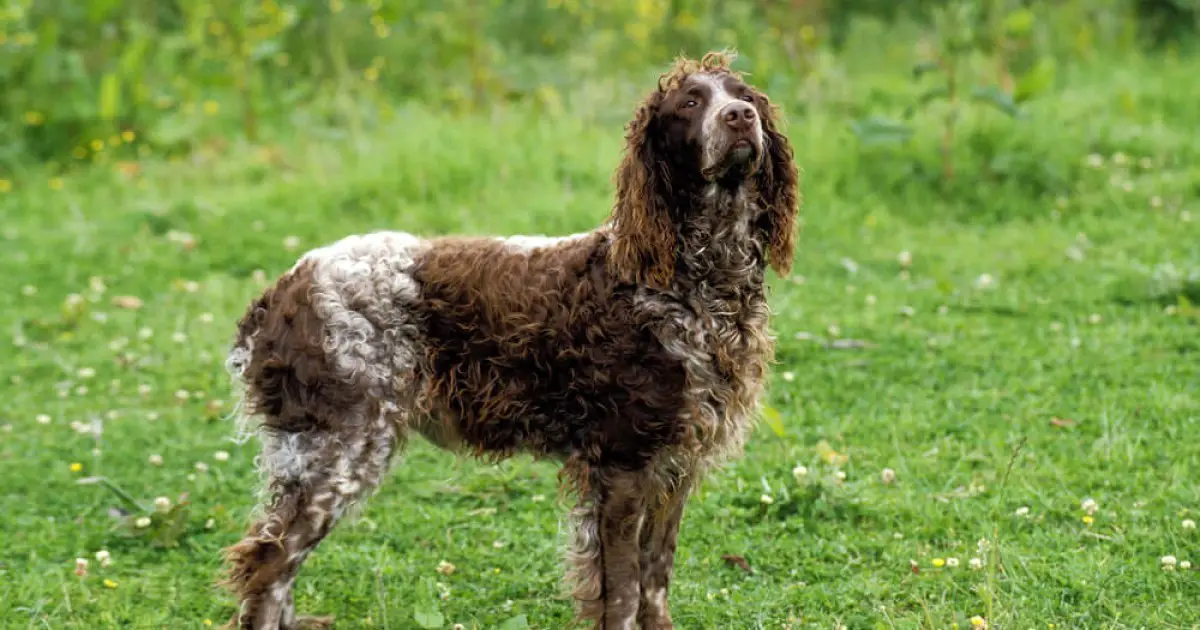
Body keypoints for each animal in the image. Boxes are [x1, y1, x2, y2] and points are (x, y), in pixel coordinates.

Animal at [220, 51, 801, 624]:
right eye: (690, 103)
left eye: (745, 98)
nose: (739, 118)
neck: (694, 281)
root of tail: (283, 289)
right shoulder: (624, 461)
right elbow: (623, 593)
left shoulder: (673, 466)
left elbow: (654, 582)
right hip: (339, 450)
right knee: (268, 565)